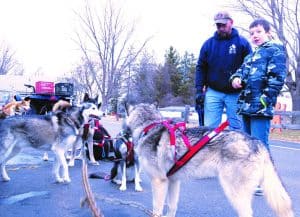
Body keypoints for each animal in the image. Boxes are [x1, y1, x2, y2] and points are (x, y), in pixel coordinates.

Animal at [125, 103, 294, 217]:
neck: (148, 126)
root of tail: (257, 142)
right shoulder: (173, 181)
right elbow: (172, 207)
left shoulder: (159, 182)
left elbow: (157, 209)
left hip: (234, 193)